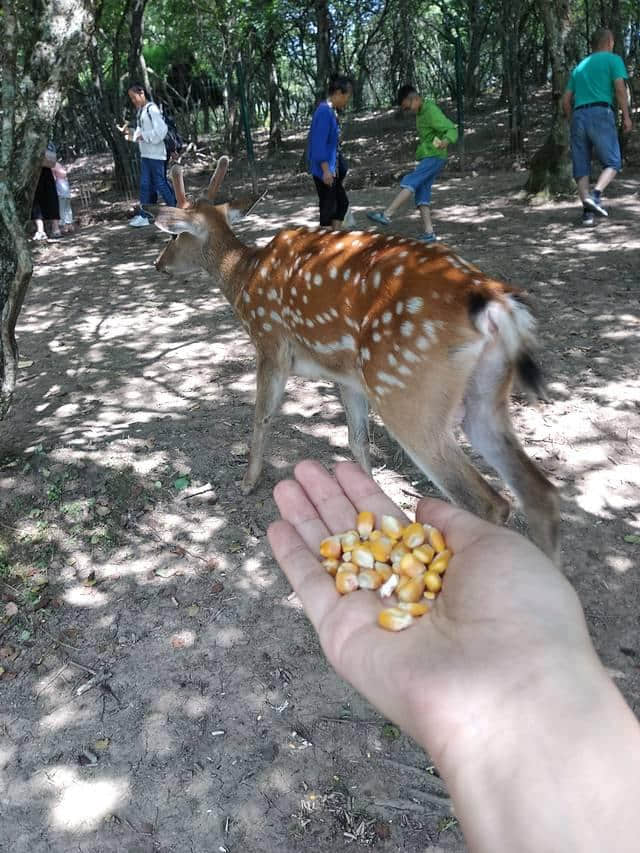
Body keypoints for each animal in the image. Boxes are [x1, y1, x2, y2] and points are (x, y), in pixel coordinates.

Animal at [155, 159, 560, 560]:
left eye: (174, 236)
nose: (159, 263)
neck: (242, 278)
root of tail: (495, 300)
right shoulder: (347, 375)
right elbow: (357, 440)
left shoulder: (270, 344)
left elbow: (262, 416)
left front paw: (248, 482)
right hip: (484, 394)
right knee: (540, 492)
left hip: (407, 389)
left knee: (490, 502)